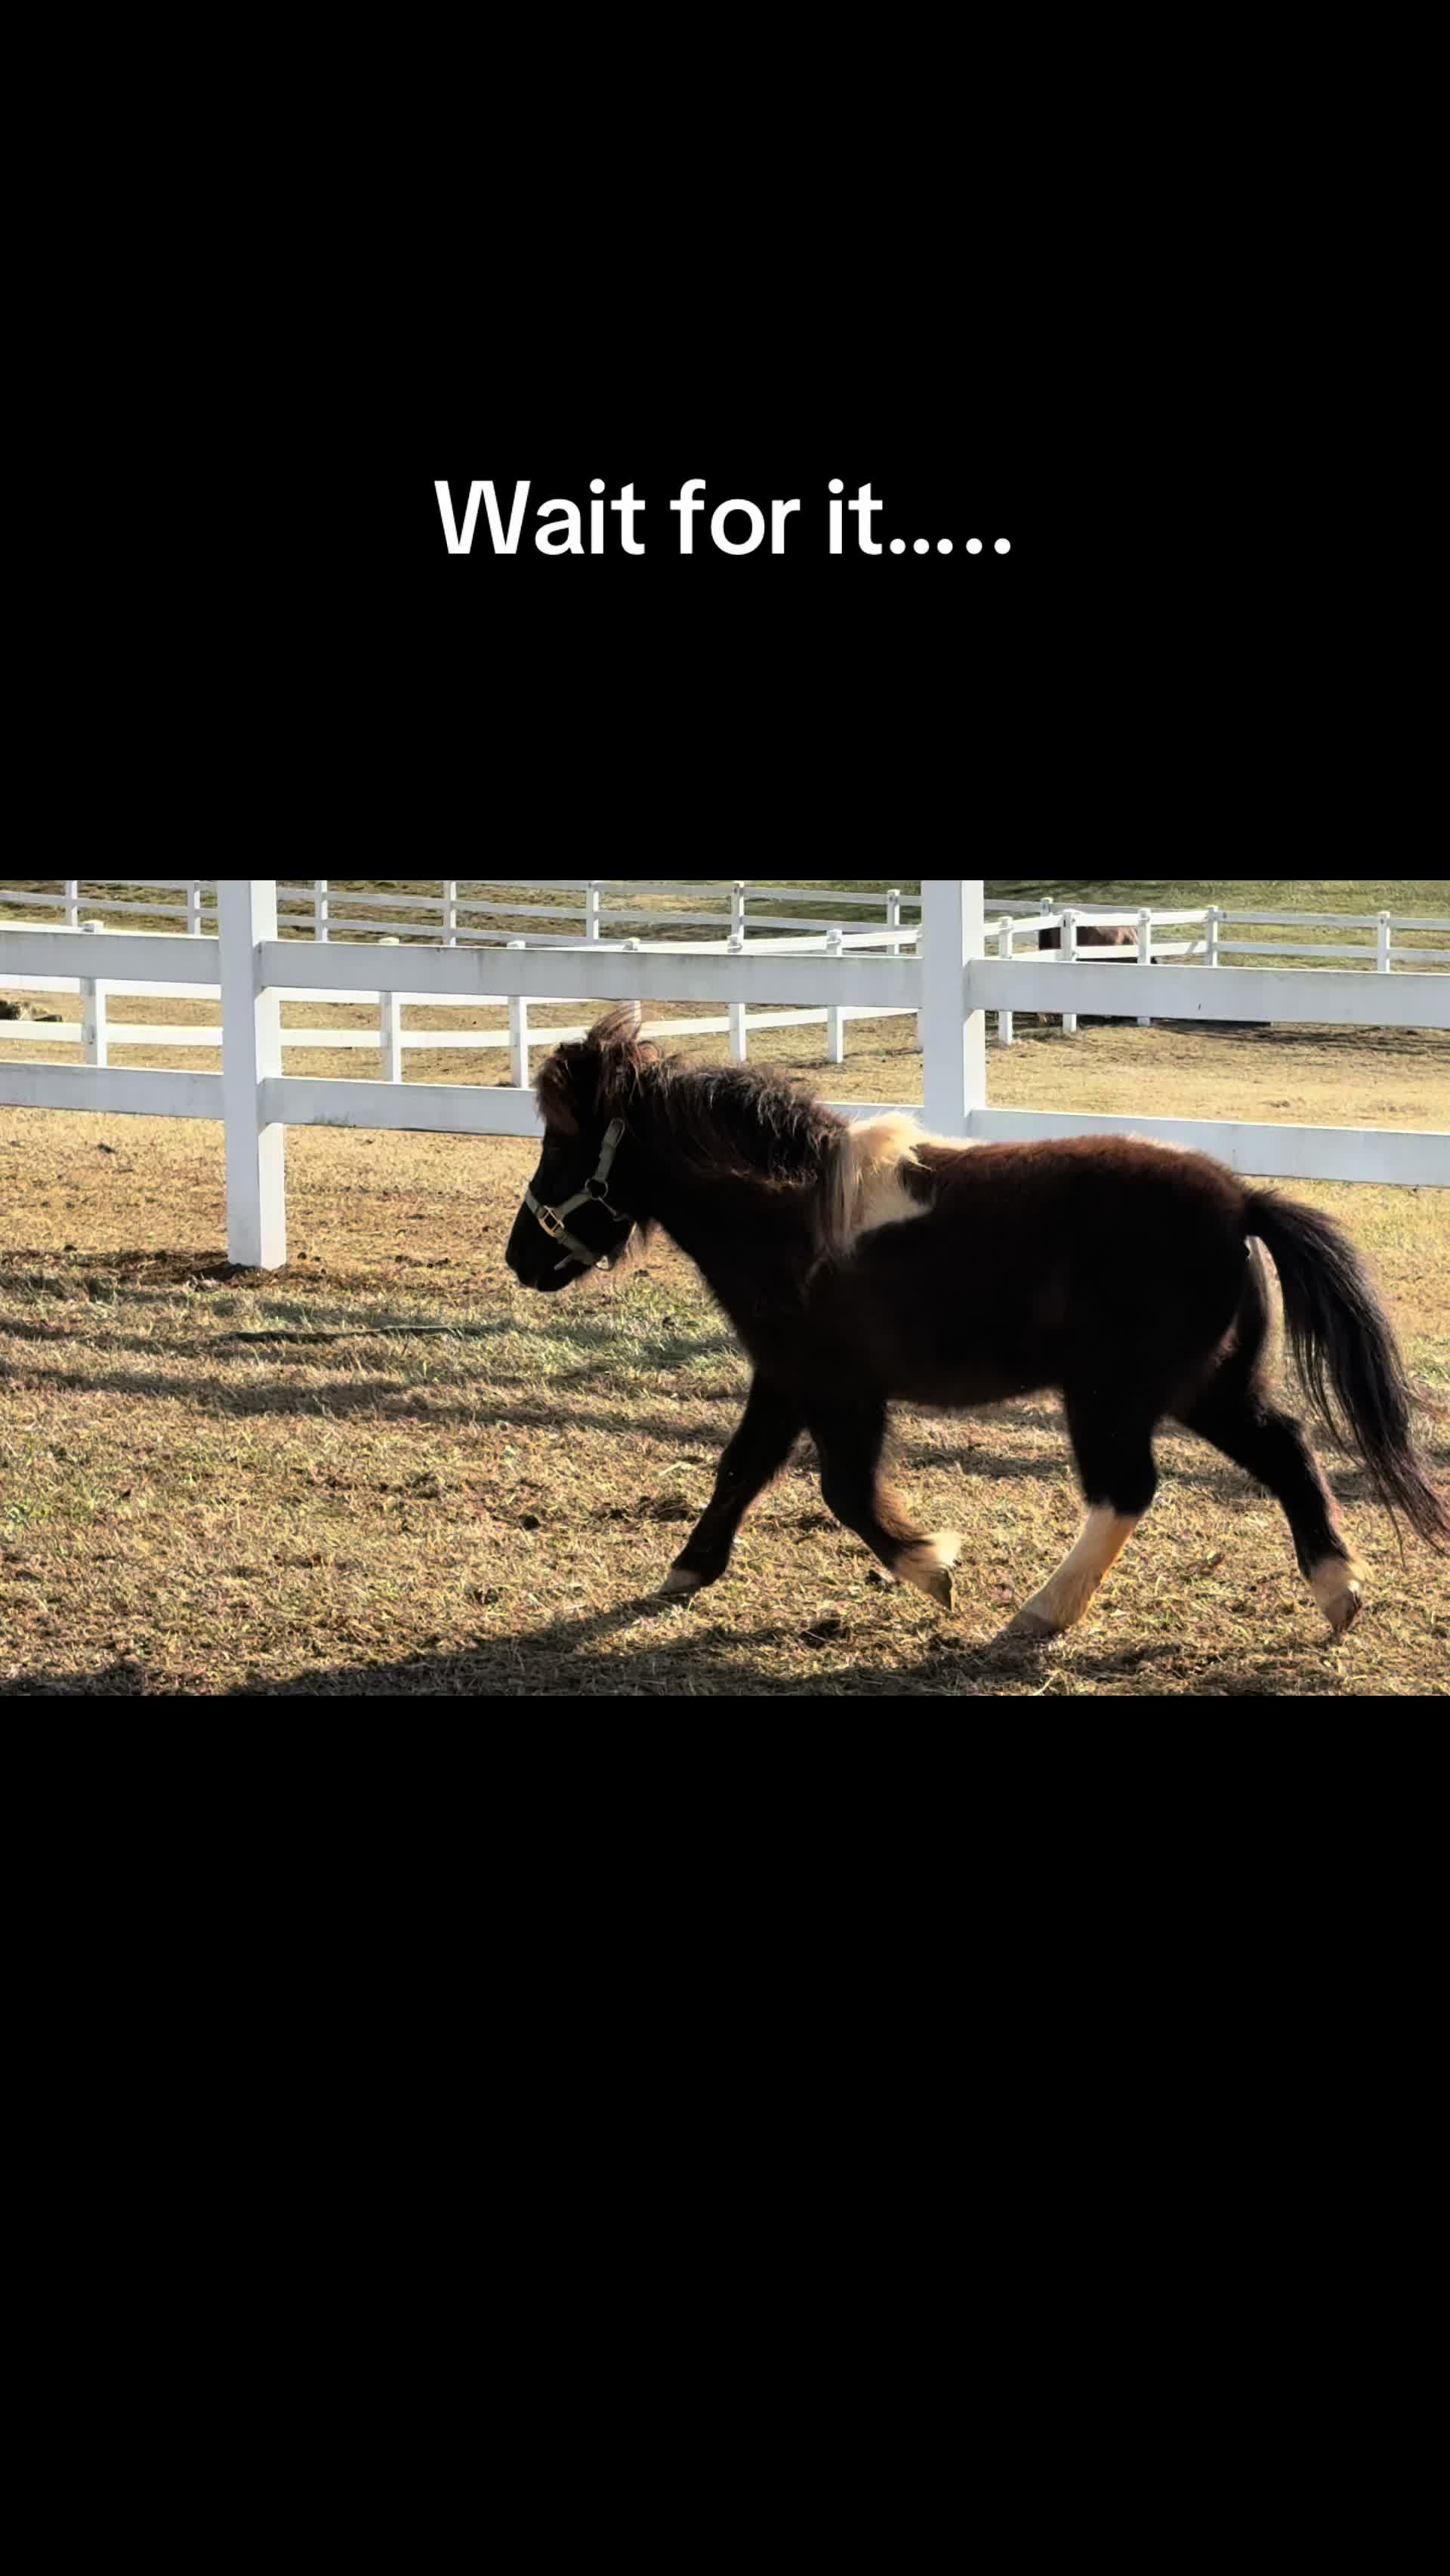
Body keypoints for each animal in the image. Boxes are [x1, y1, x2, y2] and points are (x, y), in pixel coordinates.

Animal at [505, 1006, 1448, 1641]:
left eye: (561, 1142)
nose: (521, 1257)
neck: (795, 1218)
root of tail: (1242, 1201)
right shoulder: (786, 1375)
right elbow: (740, 1469)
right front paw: (686, 1569)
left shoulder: (842, 1390)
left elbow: (844, 1491)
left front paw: (933, 1568)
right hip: (1206, 1387)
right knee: (1286, 1448)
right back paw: (1339, 1594)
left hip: (1112, 1395)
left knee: (1129, 1488)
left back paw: (1039, 1613)